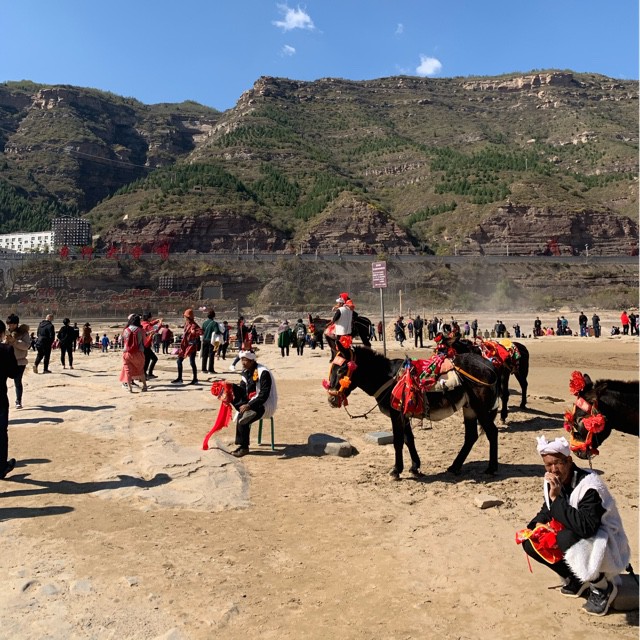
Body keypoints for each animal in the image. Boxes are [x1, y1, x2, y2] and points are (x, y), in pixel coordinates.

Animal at [324, 335, 501, 478]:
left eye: (341, 371)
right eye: (332, 368)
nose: (331, 399)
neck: (387, 377)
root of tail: (490, 365)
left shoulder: (396, 414)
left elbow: (398, 440)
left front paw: (396, 470)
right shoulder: (405, 414)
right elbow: (409, 439)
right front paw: (415, 467)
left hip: (480, 408)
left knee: (492, 432)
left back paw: (491, 469)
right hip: (469, 408)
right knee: (471, 436)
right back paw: (455, 466)